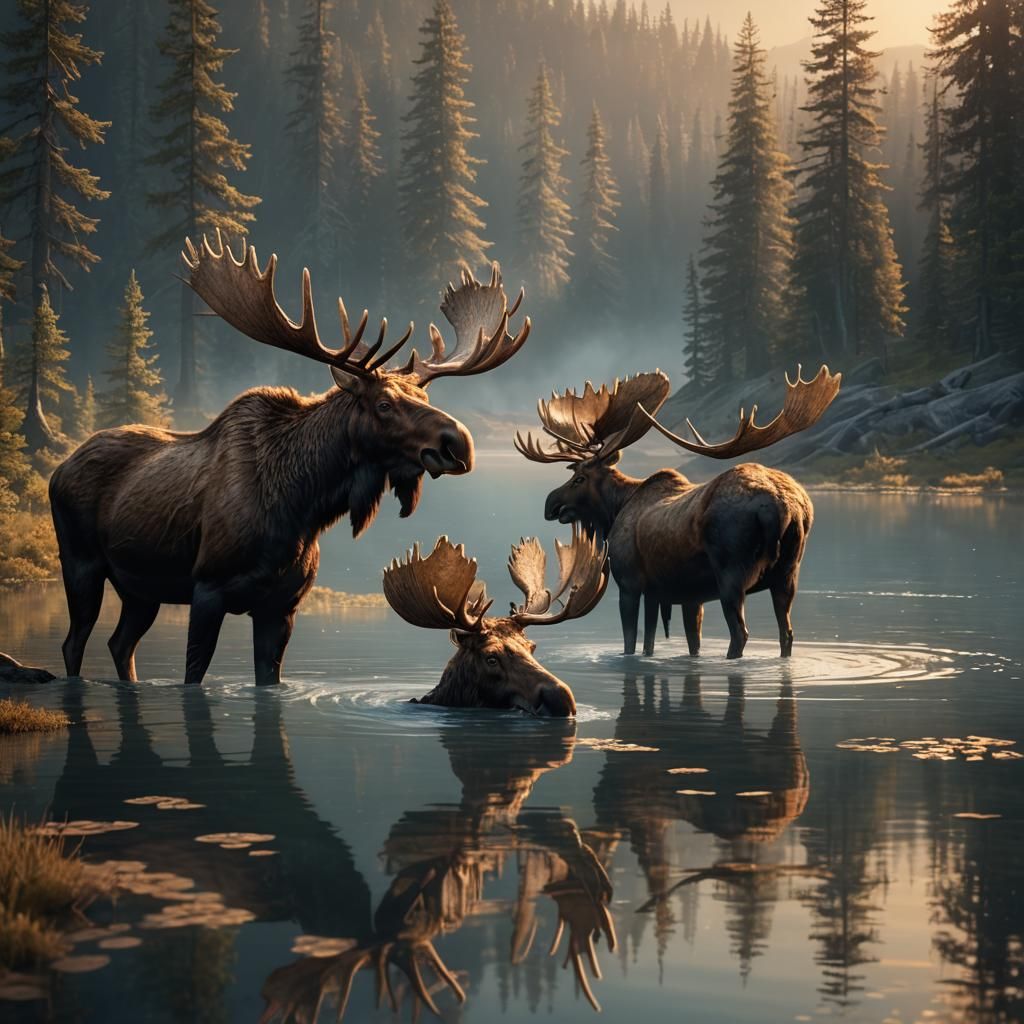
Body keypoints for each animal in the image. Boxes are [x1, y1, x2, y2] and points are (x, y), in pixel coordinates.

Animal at [49, 231, 531, 686]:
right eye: (384, 404)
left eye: (425, 396)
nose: (459, 443)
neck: (300, 506)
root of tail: (59, 469)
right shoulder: (207, 588)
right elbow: (193, 675)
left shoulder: (282, 605)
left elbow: (269, 679)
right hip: (81, 563)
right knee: (74, 643)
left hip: (141, 588)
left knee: (119, 643)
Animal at [515, 367, 841, 659]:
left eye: (579, 478)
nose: (550, 503)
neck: (615, 509)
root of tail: (781, 507)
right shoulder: (680, 594)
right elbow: (673, 642)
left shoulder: (629, 583)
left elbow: (631, 641)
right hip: (787, 574)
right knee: (787, 633)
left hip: (732, 575)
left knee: (740, 634)